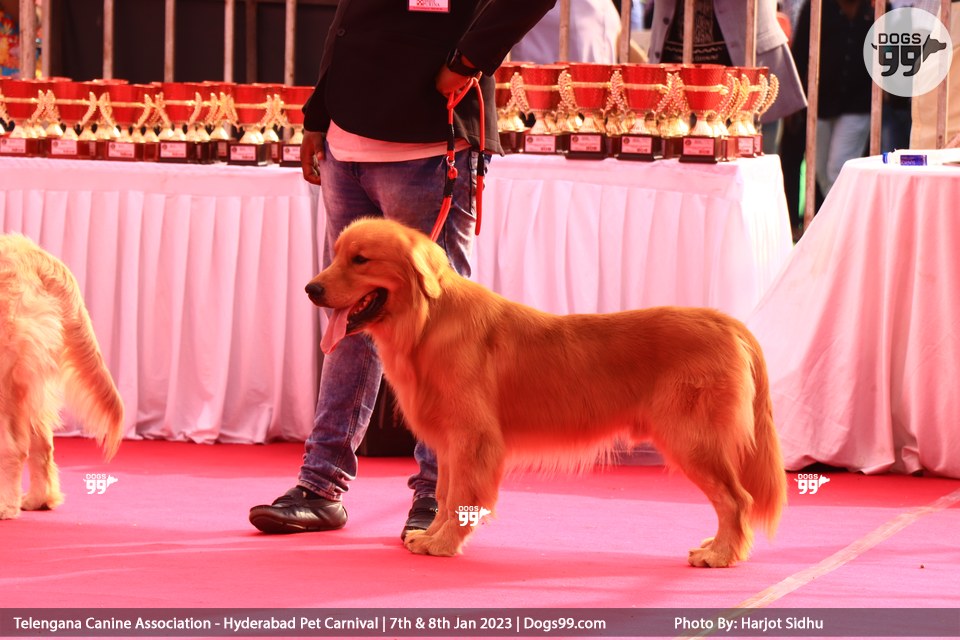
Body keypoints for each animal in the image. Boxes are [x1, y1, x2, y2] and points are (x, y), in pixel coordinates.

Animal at [0, 234, 124, 519]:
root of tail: (36, 256)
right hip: (30, 381)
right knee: (43, 445)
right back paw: (39, 499)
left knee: (15, 447)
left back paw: (6, 506)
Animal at [306, 219, 786, 567]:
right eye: (336, 255)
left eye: (361, 259)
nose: (312, 288)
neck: (426, 324)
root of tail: (726, 322)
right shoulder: (449, 442)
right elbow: (443, 496)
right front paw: (433, 534)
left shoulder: (473, 439)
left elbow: (461, 497)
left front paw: (442, 544)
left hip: (691, 438)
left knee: (737, 500)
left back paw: (721, 554)